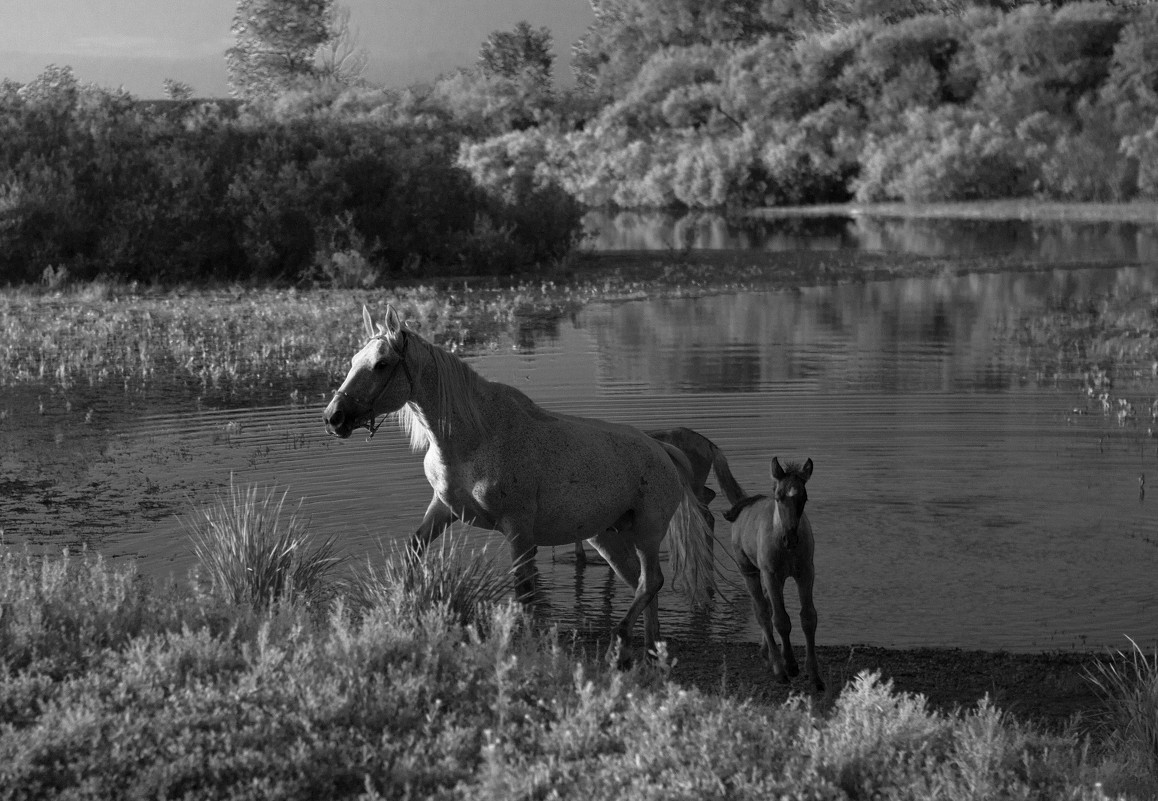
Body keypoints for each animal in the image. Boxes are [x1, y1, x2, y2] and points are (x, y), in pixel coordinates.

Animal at [324, 303, 713, 662]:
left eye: (381, 364)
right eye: (355, 360)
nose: (333, 417)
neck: (474, 437)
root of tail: (663, 450)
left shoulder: (518, 531)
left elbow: (524, 591)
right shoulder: (443, 509)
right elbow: (412, 551)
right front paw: (404, 606)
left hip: (648, 532)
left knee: (651, 581)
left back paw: (621, 637)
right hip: (608, 538)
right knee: (641, 584)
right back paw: (650, 646)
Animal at [722, 460, 824, 689]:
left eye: (804, 498)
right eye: (779, 497)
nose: (791, 538)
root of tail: (747, 504)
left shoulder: (806, 573)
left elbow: (808, 618)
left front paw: (814, 675)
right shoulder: (770, 574)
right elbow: (781, 620)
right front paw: (790, 667)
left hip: (779, 578)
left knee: (767, 606)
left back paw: (767, 653)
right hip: (750, 572)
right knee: (762, 612)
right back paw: (777, 665)